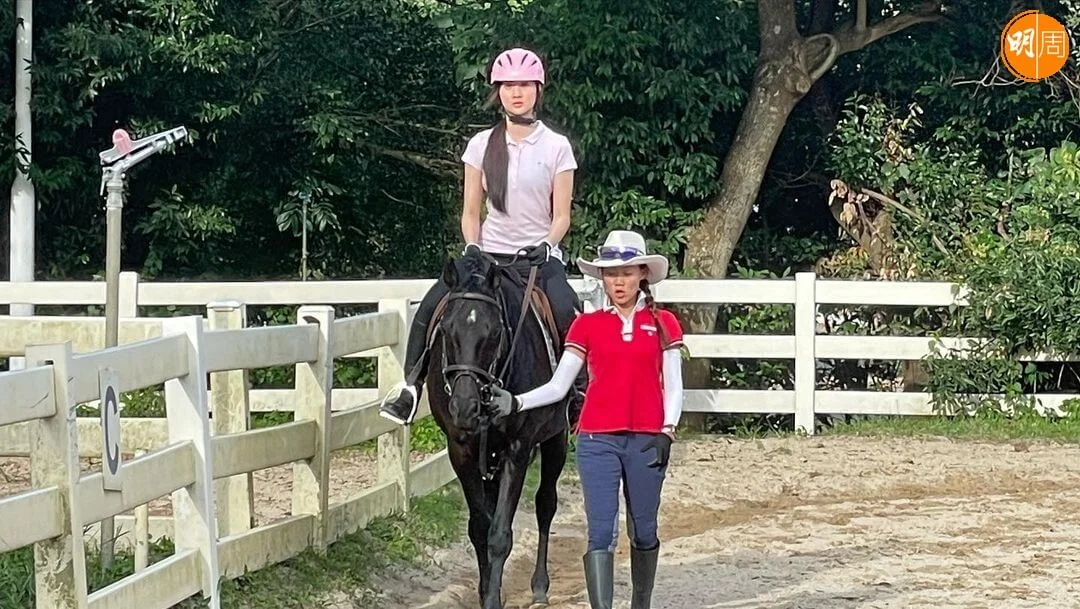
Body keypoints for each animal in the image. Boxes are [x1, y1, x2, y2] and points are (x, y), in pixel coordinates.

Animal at [425, 253, 572, 609]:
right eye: (446, 329)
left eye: (493, 333)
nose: (465, 407)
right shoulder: (461, 451)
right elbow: (481, 528)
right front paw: (486, 593)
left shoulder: (517, 449)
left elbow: (500, 534)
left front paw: (492, 598)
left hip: (556, 440)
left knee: (546, 504)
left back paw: (539, 587)